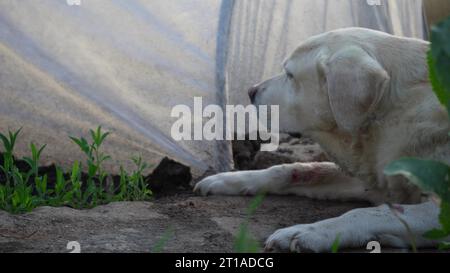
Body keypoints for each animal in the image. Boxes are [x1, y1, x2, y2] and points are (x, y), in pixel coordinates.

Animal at [194, 27, 450, 251]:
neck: (392, 113)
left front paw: (311, 232)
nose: (250, 91)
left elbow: (372, 212)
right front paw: (228, 179)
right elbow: (294, 169)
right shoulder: (375, 179)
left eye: (290, 75)